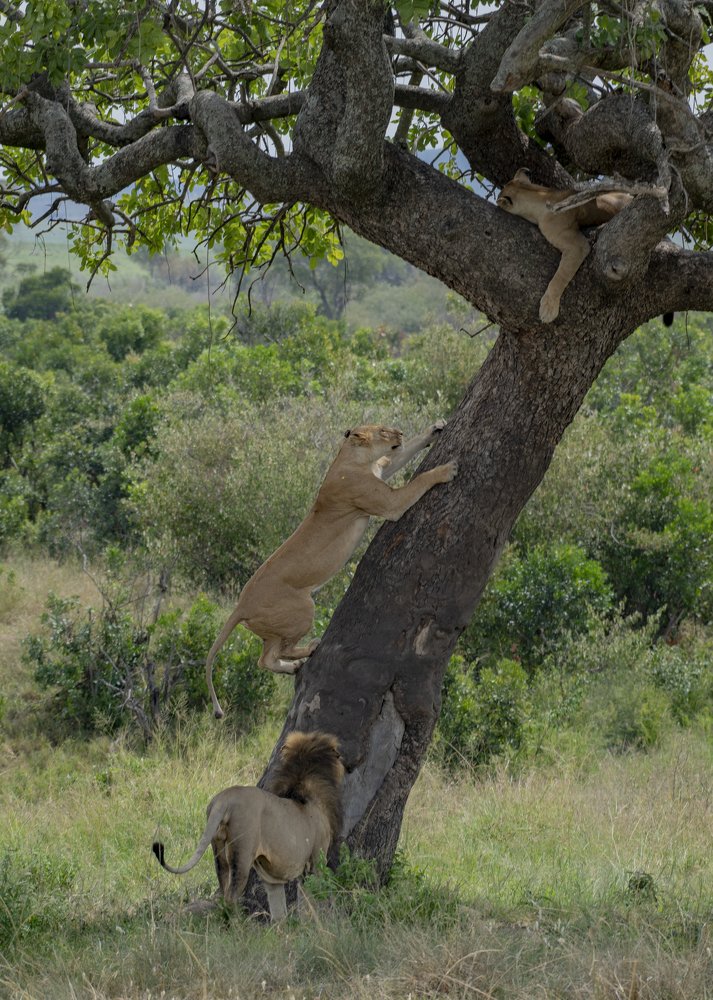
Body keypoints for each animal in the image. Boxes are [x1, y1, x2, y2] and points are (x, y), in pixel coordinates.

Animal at [152, 730, 344, 922]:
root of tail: (224, 799)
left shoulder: (273, 880)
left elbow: (279, 912)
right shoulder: (315, 862)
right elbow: (312, 900)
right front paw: (316, 923)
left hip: (219, 851)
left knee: (223, 892)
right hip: (242, 853)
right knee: (231, 897)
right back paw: (240, 925)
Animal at [205, 420, 457, 718]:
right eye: (384, 431)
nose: (400, 432)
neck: (353, 459)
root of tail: (240, 606)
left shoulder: (383, 469)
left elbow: (404, 453)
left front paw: (435, 429)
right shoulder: (388, 503)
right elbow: (418, 481)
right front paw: (446, 470)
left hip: (276, 625)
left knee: (265, 659)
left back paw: (294, 665)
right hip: (302, 609)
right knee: (276, 652)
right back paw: (310, 648)